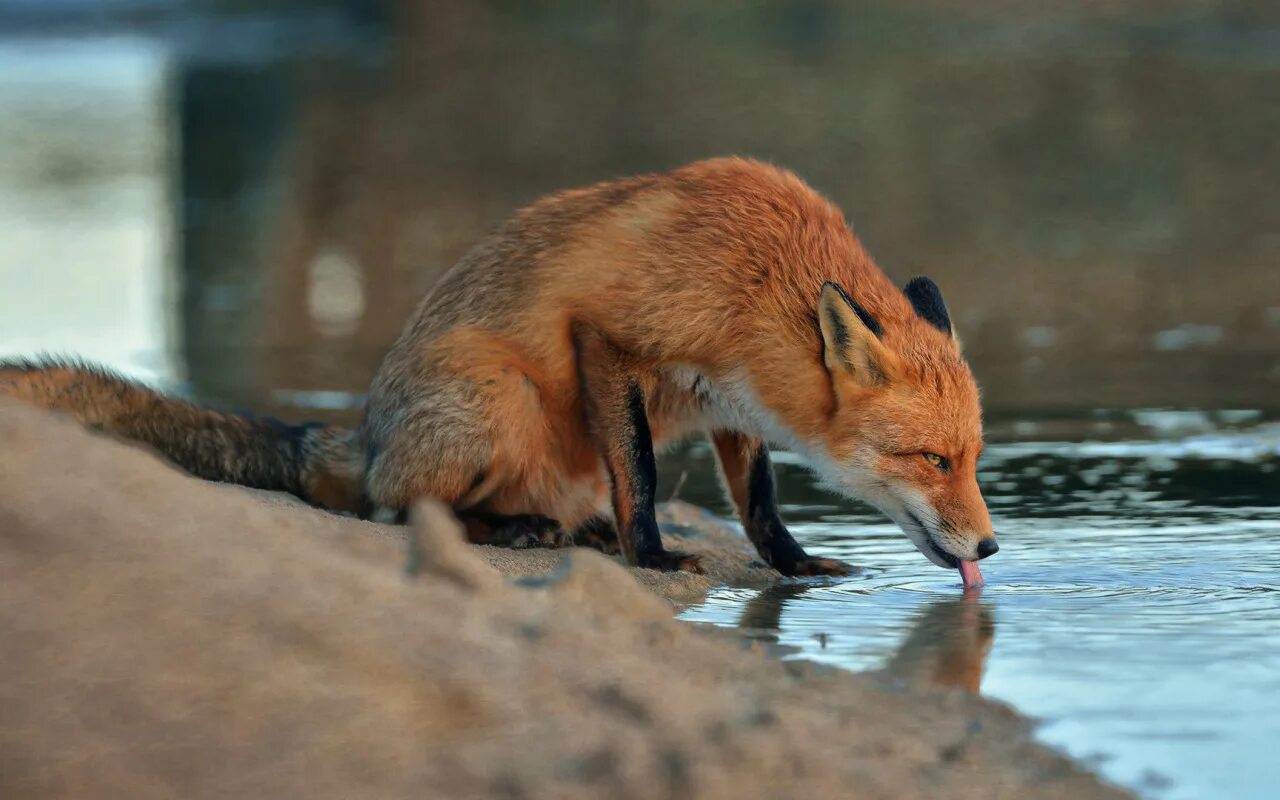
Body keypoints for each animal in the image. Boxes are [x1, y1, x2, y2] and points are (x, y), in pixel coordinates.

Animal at [2, 157, 998, 581]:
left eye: (974, 460)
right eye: (932, 460)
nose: (991, 548)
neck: (756, 274)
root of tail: (364, 435)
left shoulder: (731, 400)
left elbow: (757, 505)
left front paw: (792, 564)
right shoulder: (608, 338)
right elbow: (640, 472)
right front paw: (650, 555)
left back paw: (568, 527)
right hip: (499, 395)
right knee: (394, 508)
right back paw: (516, 530)